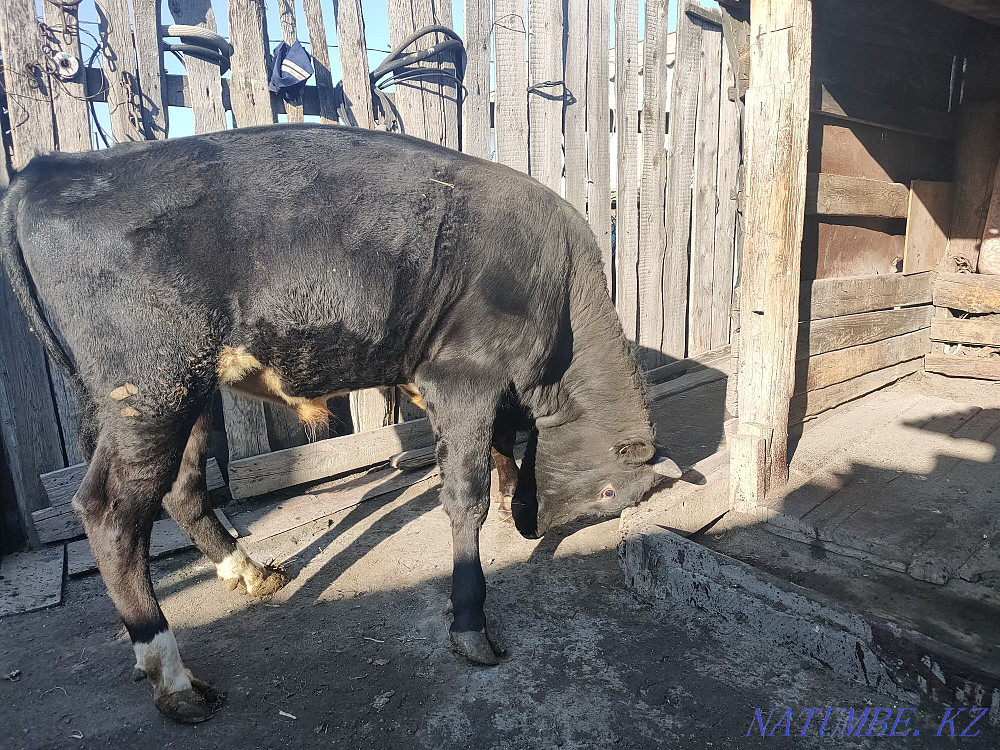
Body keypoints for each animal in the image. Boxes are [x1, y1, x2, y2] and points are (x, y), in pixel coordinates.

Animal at [0, 124, 682, 723]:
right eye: (606, 492)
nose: (537, 528)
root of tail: (50, 168)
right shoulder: (463, 375)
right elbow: (466, 496)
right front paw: (471, 629)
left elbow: (501, 450)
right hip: (148, 392)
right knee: (110, 513)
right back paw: (177, 683)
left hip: (185, 394)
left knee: (183, 488)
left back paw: (250, 573)